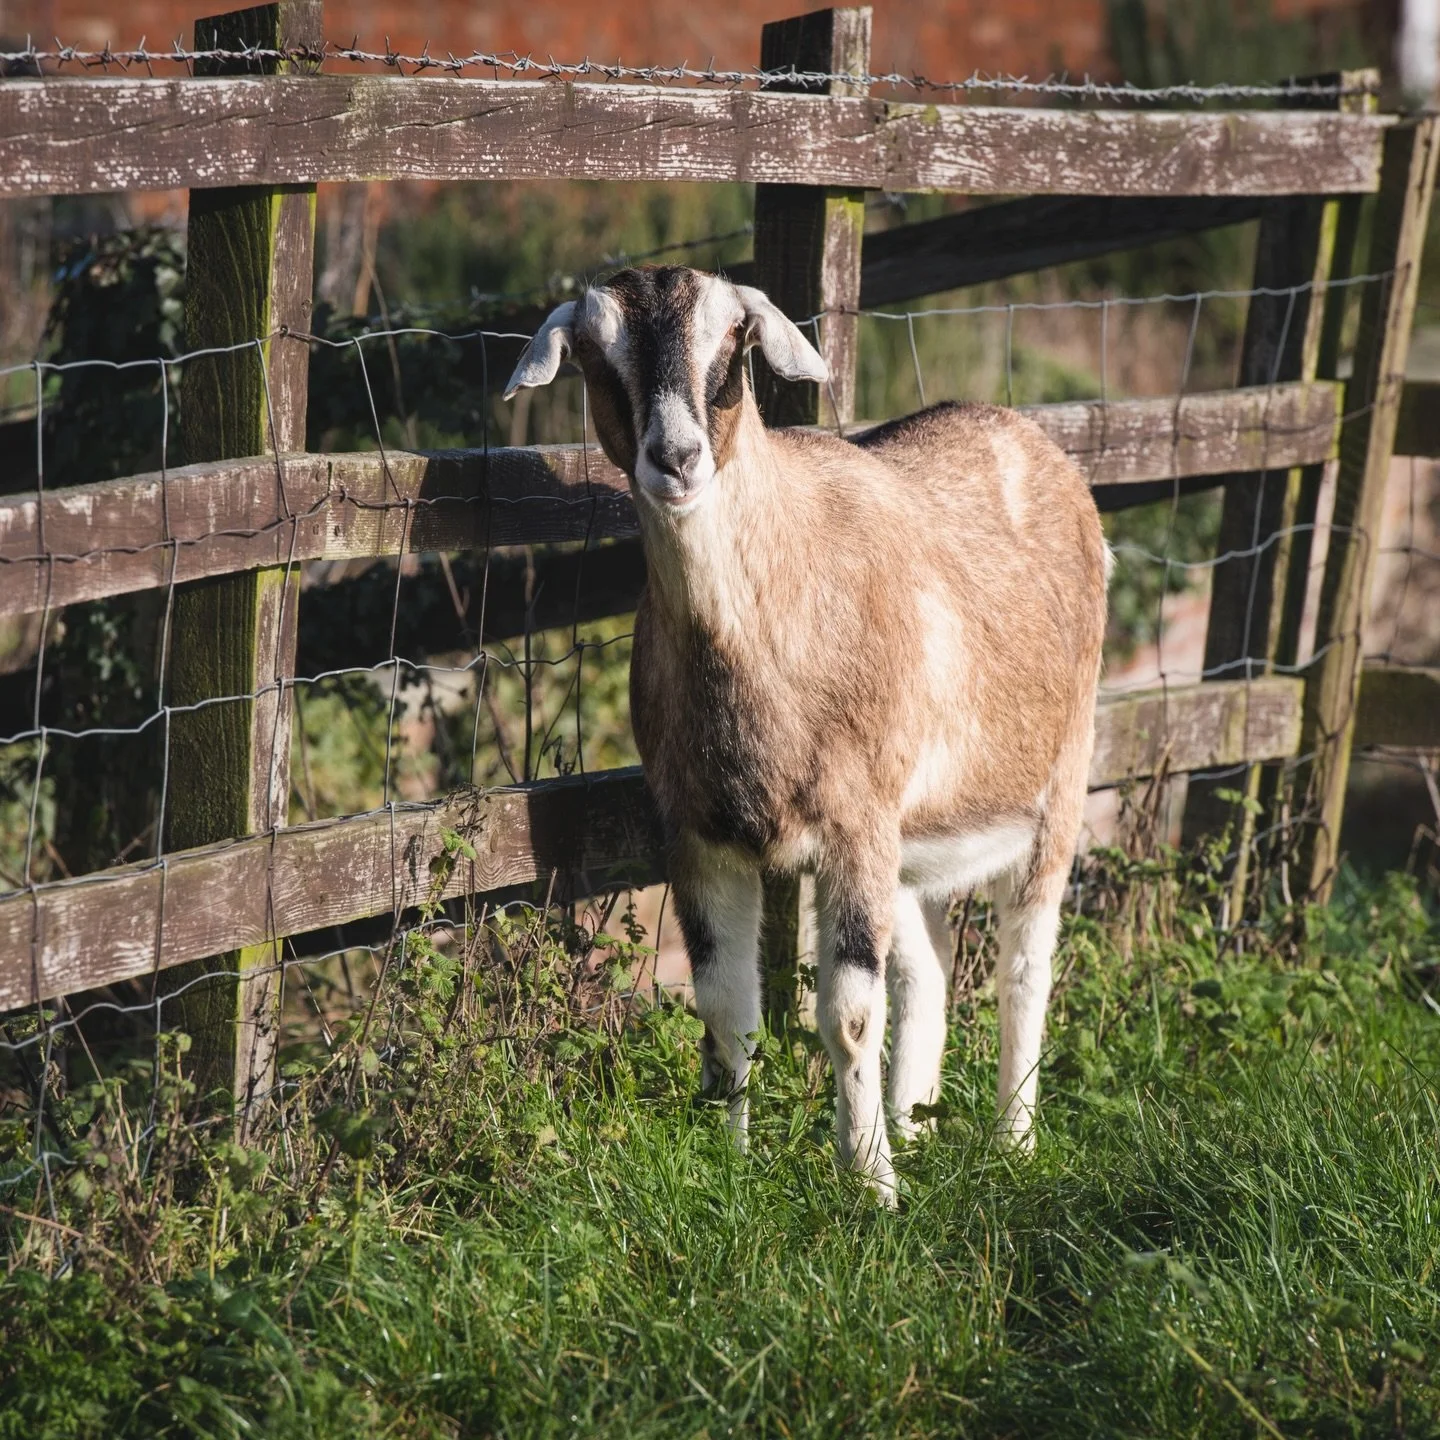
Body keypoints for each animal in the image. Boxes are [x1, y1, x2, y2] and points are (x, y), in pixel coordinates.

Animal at [505, 266, 1108, 1199]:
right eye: (597, 355)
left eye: (734, 341)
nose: (676, 459)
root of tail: (1023, 432)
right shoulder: (697, 834)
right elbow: (728, 1011)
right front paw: (733, 1166)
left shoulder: (854, 820)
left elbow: (850, 1013)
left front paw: (869, 1186)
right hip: (915, 832)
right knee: (929, 970)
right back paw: (915, 1123)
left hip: (1059, 779)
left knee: (1025, 965)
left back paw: (1012, 1140)